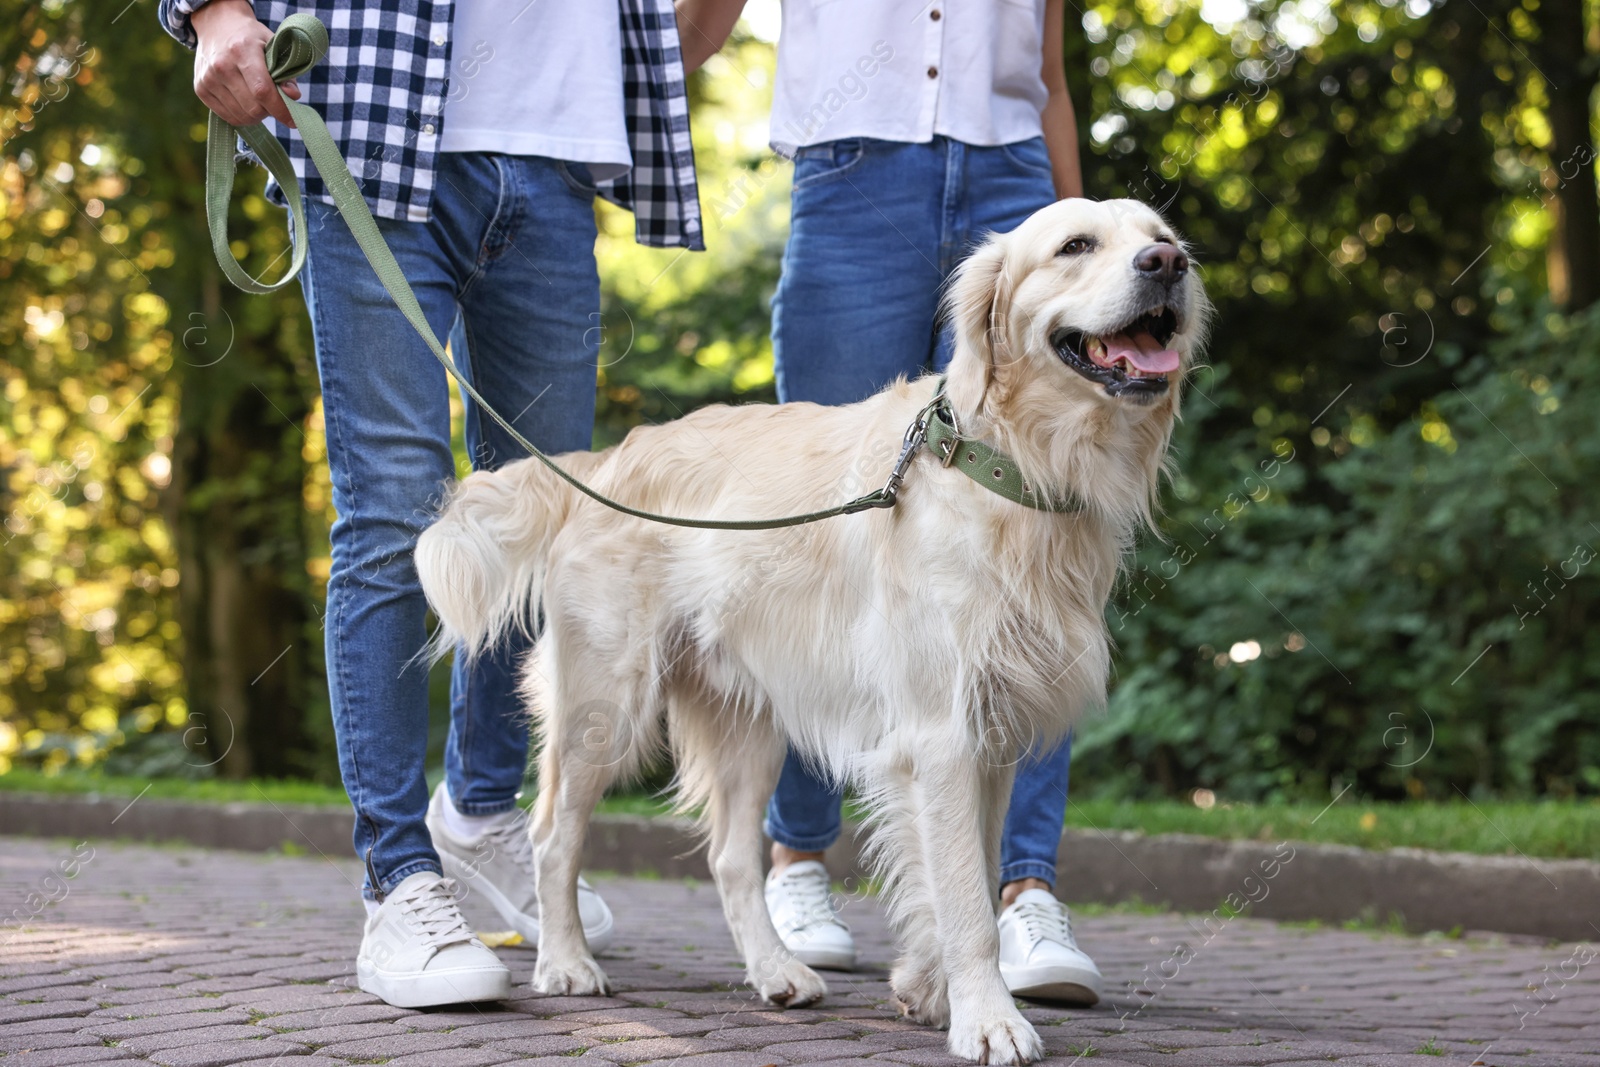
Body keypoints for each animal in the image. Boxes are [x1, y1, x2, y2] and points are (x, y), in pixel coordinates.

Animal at [419, 198, 1203, 1062]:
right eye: (1075, 246)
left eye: (1161, 238)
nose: (1167, 266)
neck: (1003, 462)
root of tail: (604, 461)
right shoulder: (940, 735)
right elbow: (965, 897)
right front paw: (989, 1019)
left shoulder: (990, 737)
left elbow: (963, 869)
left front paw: (928, 988)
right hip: (604, 703)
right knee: (555, 833)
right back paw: (566, 961)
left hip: (748, 720)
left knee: (731, 858)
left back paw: (777, 971)